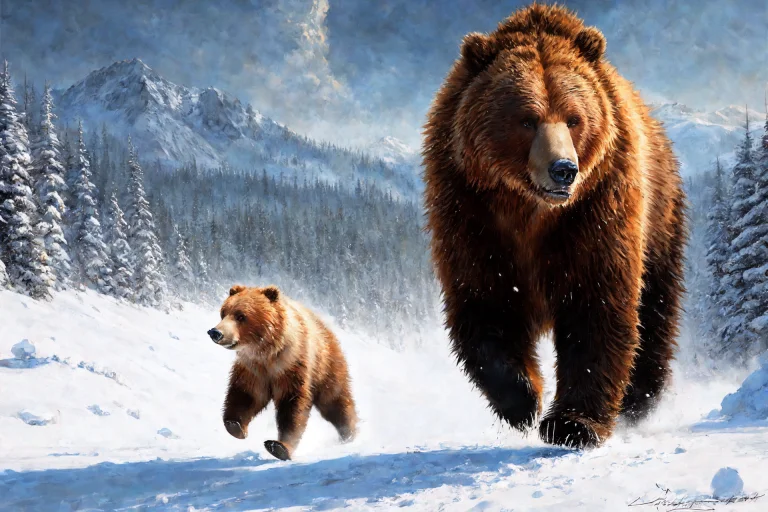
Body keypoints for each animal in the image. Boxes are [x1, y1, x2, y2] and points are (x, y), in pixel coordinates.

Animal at [208, 284, 358, 460]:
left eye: (241, 316)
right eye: (223, 313)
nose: (215, 332)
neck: (267, 351)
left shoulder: (292, 365)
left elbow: (292, 405)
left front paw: (279, 446)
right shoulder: (253, 370)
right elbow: (246, 395)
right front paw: (236, 425)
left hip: (326, 365)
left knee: (335, 400)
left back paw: (350, 432)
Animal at [422, 3, 687, 449]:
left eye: (574, 118)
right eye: (527, 119)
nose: (563, 169)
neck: (530, 211)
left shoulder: (597, 211)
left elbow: (596, 307)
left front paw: (573, 423)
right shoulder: (470, 214)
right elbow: (486, 304)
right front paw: (523, 400)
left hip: (660, 219)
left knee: (655, 309)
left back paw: (639, 400)